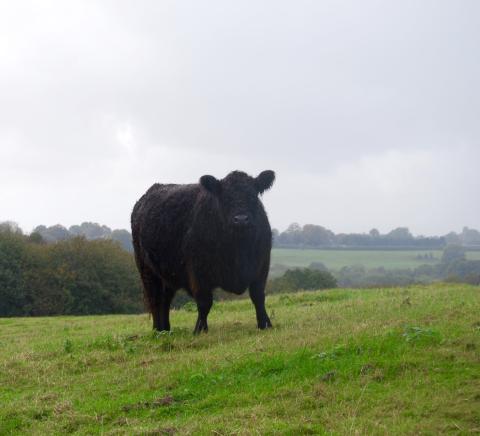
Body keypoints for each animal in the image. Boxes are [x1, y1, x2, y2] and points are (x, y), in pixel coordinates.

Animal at [131, 170, 276, 334]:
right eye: (225, 197)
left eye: (253, 195)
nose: (241, 219)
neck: (238, 249)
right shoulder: (198, 272)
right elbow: (204, 302)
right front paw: (200, 330)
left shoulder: (261, 266)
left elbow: (258, 296)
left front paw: (265, 324)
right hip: (147, 270)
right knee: (155, 299)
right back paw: (158, 331)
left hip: (167, 274)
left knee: (165, 300)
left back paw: (166, 330)